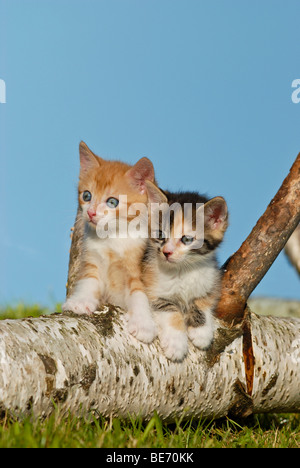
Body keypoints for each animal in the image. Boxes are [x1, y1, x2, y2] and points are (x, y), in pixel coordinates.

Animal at [62, 140, 158, 344]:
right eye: (87, 196)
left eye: (112, 202)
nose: (91, 213)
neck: (113, 238)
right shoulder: (91, 257)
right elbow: (88, 280)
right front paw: (80, 302)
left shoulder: (141, 266)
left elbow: (140, 293)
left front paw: (143, 324)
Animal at [142, 180, 227, 362]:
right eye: (161, 235)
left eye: (186, 239)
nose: (166, 252)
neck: (182, 269)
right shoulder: (151, 286)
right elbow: (170, 310)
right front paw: (176, 343)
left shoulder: (211, 279)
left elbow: (202, 300)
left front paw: (201, 332)